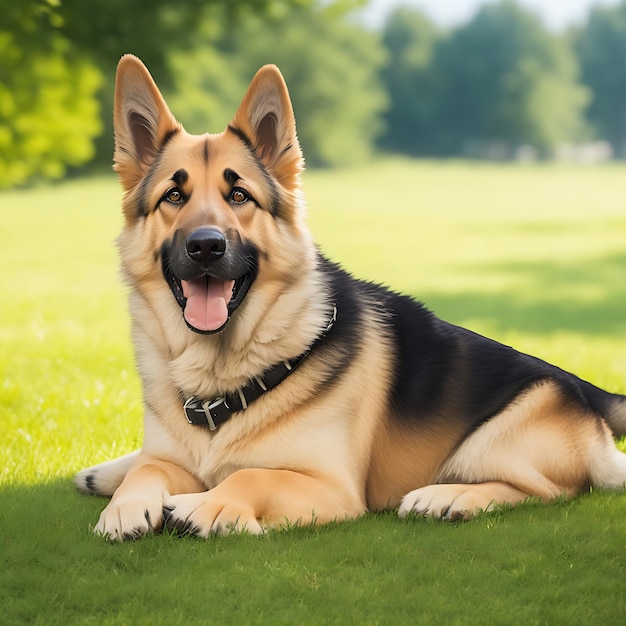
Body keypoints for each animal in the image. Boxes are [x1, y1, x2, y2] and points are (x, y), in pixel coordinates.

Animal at [74, 56, 624, 540]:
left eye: (239, 196)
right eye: (173, 196)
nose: (206, 247)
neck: (219, 376)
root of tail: (583, 391)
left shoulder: (331, 487)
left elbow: (250, 474)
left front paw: (208, 505)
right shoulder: (169, 457)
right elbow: (150, 468)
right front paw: (125, 505)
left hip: (496, 440)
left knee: (545, 490)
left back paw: (448, 497)